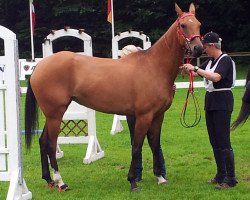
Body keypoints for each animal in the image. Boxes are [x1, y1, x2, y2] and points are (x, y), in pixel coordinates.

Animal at [24, 2, 203, 191]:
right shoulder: (144, 116)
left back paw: (48, 179)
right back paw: (60, 182)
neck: (154, 66)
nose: (198, 48)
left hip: (52, 115)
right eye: (183, 25)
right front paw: (133, 181)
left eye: (198, 24)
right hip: (55, 114)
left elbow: (154, 144)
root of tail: (40, 66)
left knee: (43, 141)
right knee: (51, 145)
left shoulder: (158, 116)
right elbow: (137, 147)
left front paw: (160, 177)